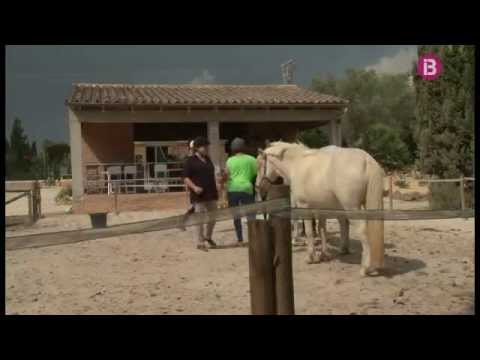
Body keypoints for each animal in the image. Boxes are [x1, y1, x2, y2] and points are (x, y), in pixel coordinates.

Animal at [255, 141, 386, 276]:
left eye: (259, 164)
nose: (258, 187)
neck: (297, 163)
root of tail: (366, 159)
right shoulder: (320, 208)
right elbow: (322, 230)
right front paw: (324, 255)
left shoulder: (303, 206)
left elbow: (309, 231)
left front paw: (310, 257)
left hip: (351, 208)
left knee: (362, 231)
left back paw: (365, 268)